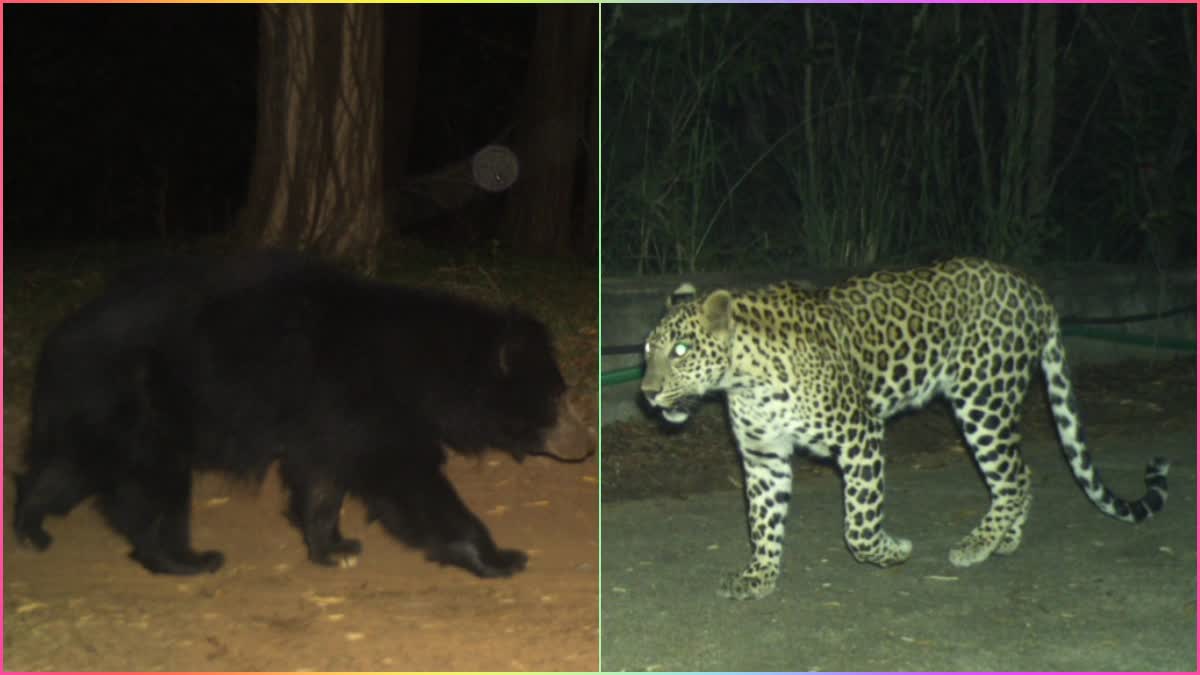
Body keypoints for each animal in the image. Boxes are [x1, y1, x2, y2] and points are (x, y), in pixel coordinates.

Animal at [9, 249, 590, 576]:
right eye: (558, 396)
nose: (585, 444)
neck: (424, 367)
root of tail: (58, 340)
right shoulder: (362, 400)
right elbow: (407, 479)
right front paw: (501, 557)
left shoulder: (329, 419)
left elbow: (324, 480)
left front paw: (334, 546)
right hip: (142, 407)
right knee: (150, 491)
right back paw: (187, 559)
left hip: (95, 414)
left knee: (64, 468)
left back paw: (30, 526)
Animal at [643, 257, 1166, 598]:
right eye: (648, 350)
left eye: (682, 351)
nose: (647, 392)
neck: (744, 377)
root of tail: (1031, 286)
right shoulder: (763, 455)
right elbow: (763, 520)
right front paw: (760, 577)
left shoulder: (860, 436)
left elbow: (858, 525)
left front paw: (893, 551)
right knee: (1024, 470)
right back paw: (1006, 539)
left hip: (983, 399)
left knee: (1013, 475)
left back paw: (978, 543)